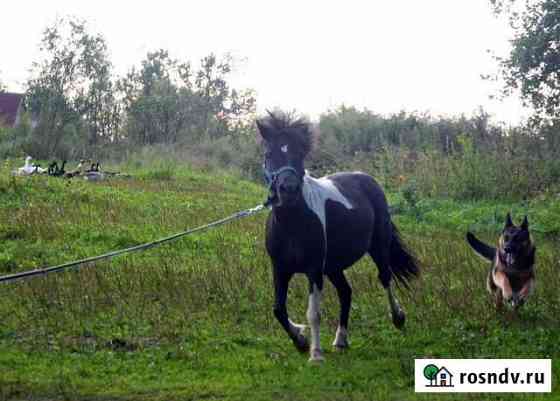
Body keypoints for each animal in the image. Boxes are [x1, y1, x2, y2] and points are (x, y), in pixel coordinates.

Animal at [258, 111, 420, 362]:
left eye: (299, 153)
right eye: (268, 154)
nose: (288, 189)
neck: (293, 223)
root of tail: (366, 178)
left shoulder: (314, 270)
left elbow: (313, 313)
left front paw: (315, 354)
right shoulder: (280, 268)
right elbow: (278, 309)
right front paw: (301, 341)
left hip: (377, 247)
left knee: (385, 277)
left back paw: (398, 318)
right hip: (333, 266)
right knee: (346, 292)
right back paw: (341, 340)